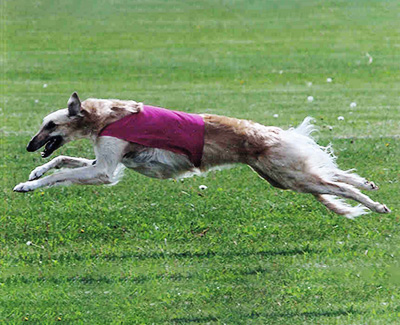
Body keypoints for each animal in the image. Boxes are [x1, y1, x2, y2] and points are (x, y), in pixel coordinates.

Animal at [13, 91, 390, 218]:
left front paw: (27, 185)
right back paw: (367, 184)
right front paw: (34, 174)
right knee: (333, 174)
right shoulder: (107, 162)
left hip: (289, 174)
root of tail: (276, 133)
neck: (105, 116)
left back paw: (375, 204)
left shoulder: (105, 168)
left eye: (50, 125)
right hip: (284, 175)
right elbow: (62, 161)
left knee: (338, 186)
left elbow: (64, 172)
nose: (30, 146)